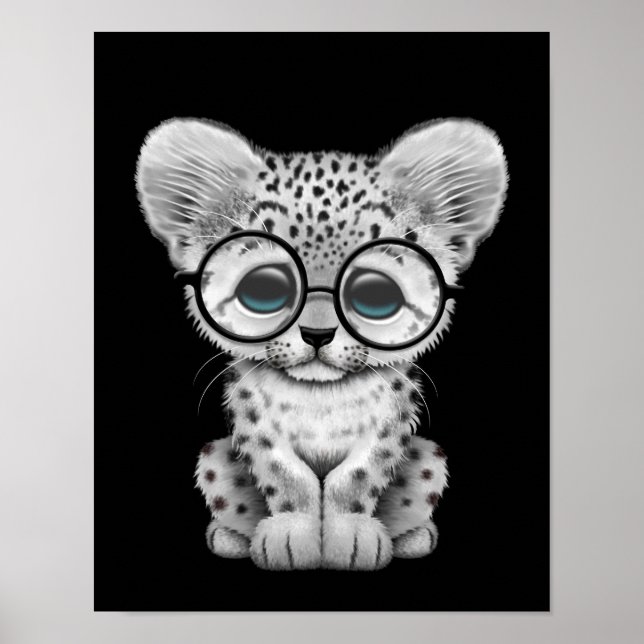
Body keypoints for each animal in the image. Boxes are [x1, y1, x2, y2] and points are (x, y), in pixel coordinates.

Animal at [136, 117, 507, 570]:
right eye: (263, 289)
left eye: (376, 294)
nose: (317, 335)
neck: (320, 397)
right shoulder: (255, 424)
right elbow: (285, 477)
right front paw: (291, 535)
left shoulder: (390, 424)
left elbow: (357, 478)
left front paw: (351, 537)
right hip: (213, 458)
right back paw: (229, 537)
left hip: (430, 459)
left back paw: (414, 537)